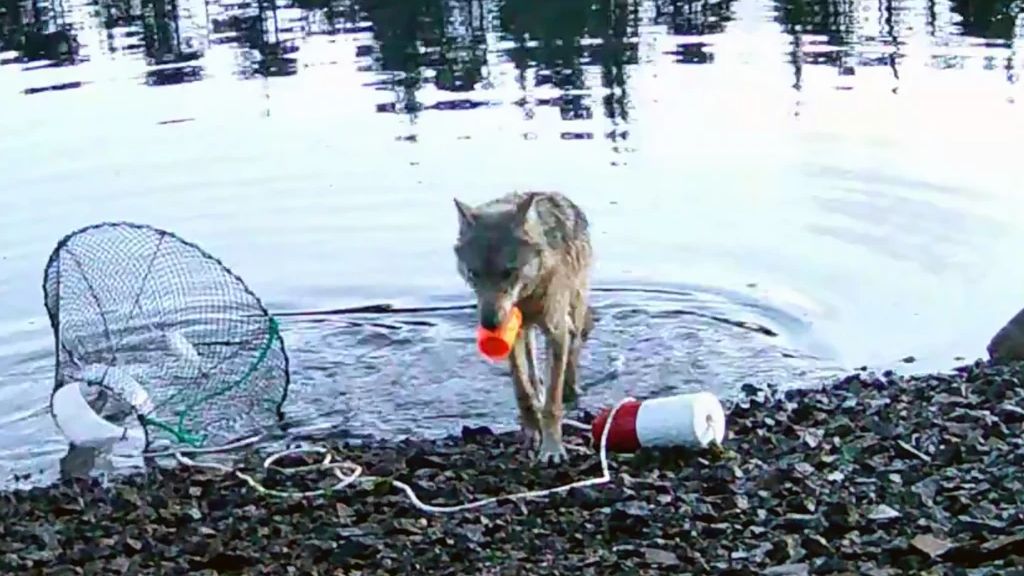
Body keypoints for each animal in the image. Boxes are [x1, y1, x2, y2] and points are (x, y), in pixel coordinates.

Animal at [452, 191, 595, 464]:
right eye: (474, 274)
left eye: (508, 272)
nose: (489, 323)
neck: (528, 295)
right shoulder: (513, 332)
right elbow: (522, 389)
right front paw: (531, 432)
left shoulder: (556, 331)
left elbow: (552, 402)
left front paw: (552, 449)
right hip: (528, 331)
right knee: (532, 367)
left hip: (575, 310)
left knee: (573, 349)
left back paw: (571, 389)